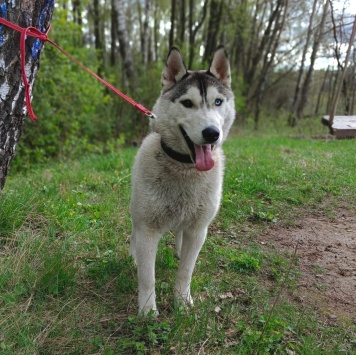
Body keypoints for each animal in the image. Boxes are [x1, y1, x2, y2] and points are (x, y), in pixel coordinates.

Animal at [129, 47, 235, 318]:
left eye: (218, 101)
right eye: (187, 103)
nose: (212, 133)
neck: (185, 168)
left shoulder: (198, 230)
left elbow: (186, 270)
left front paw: (182, 301)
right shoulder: (148, 229)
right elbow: (147, 276)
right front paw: (147, 310)